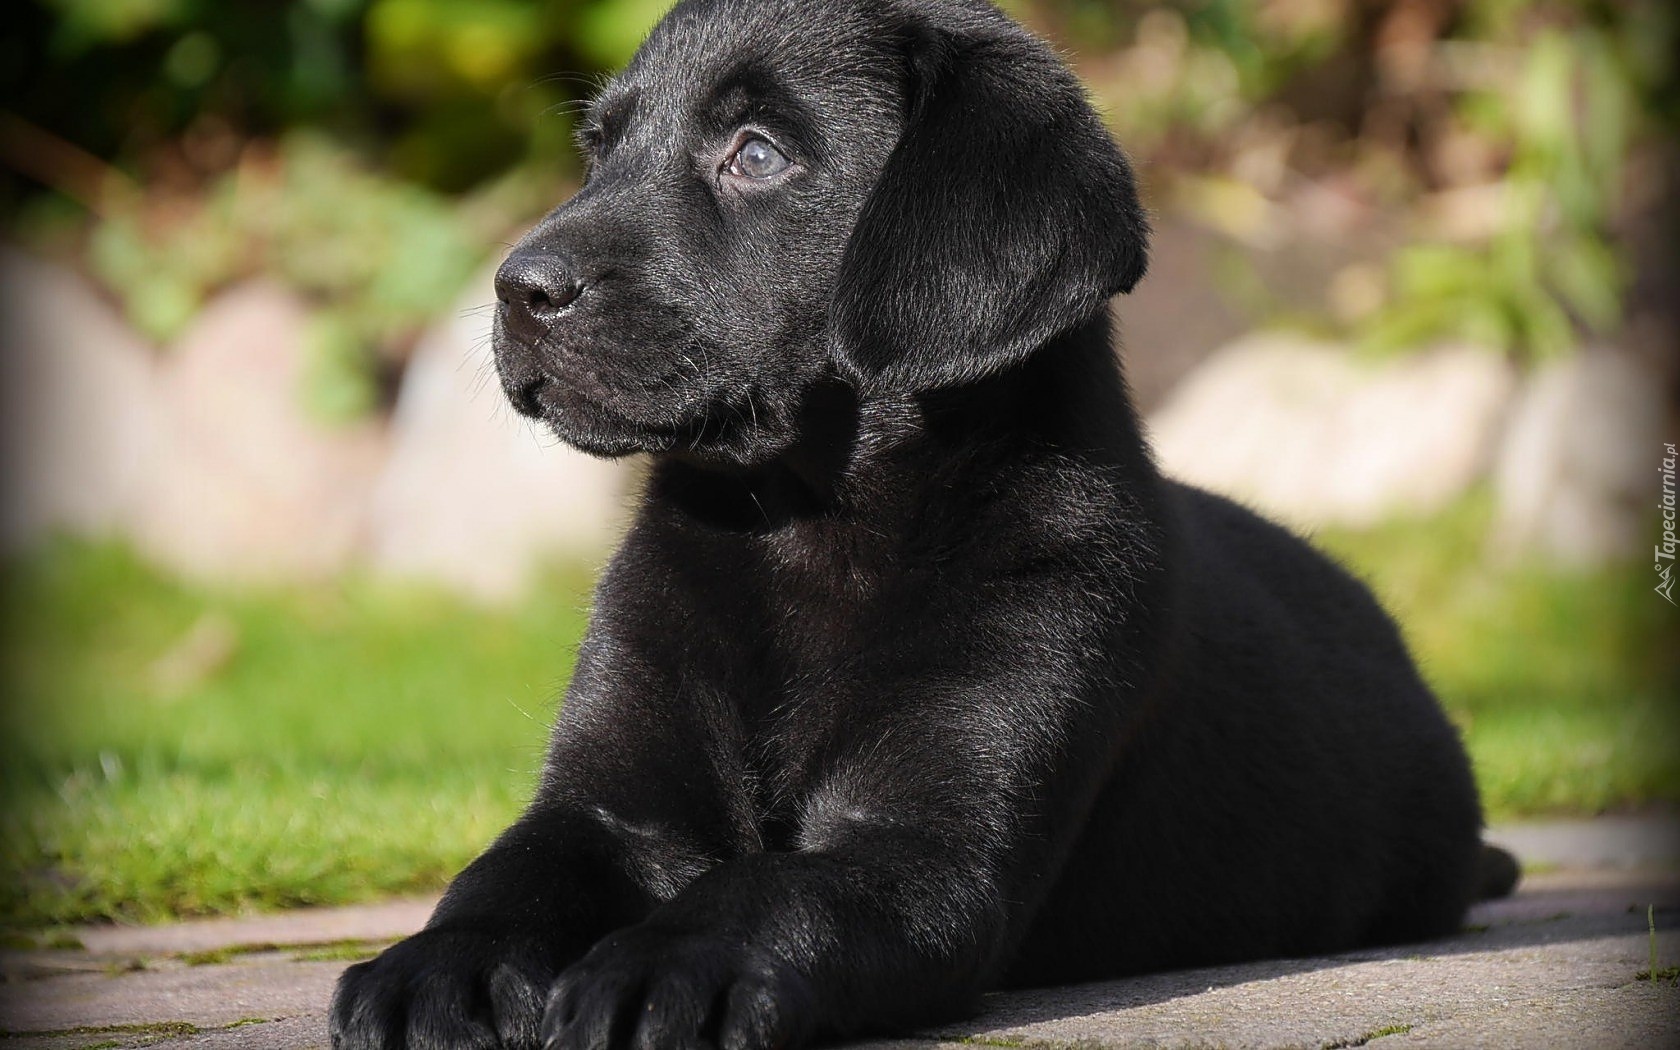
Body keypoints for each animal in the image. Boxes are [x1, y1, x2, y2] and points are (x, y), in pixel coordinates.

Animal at [334, 0, 1518, 1041]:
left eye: (756, 154)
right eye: (600, 150)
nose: (515, 288)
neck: (804, 528)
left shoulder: (925, 851)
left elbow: (769, 891)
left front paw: (658, 967)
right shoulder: (607, 807)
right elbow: (504, 874)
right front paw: (435, 969)